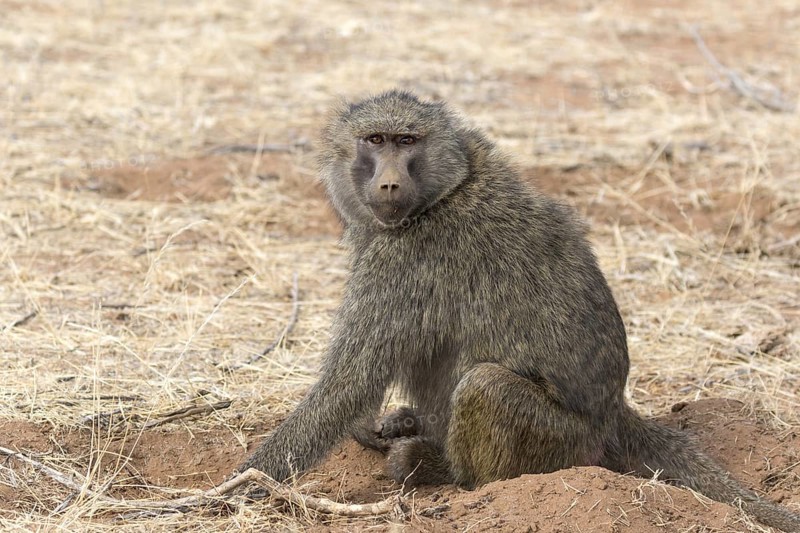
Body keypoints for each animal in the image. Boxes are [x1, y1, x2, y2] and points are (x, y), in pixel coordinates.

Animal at [238, 90, 800, 531]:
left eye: (407, 141)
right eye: (375, 140)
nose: (390, 184)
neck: (448, 185)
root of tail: (612, 412)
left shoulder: (405, 259)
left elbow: (345, 384)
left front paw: (240, 485)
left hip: (562, 443)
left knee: (485, 386)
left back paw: (434, 467)